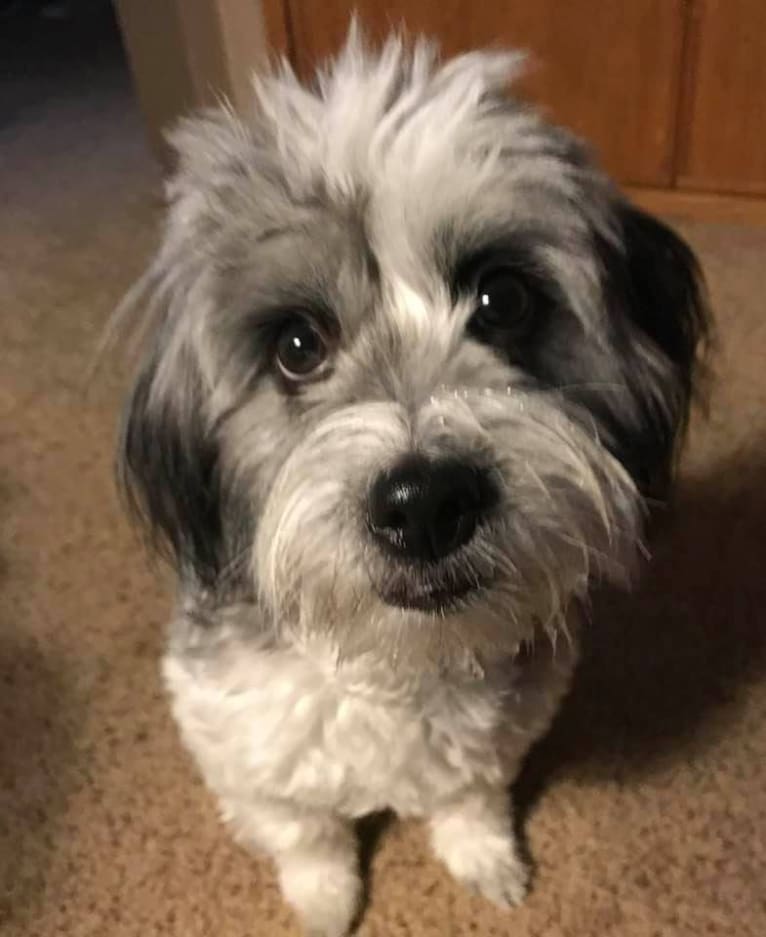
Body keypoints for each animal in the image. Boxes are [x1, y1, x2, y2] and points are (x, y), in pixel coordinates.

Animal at [114, 27, 708, 936]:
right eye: (297, 345)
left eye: (502, 298)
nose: (426, 502)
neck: (397, 657)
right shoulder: (242, 749)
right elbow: (307, 832)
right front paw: (324, 899)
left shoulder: (500, 732)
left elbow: (470, 796)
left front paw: (484, 858)